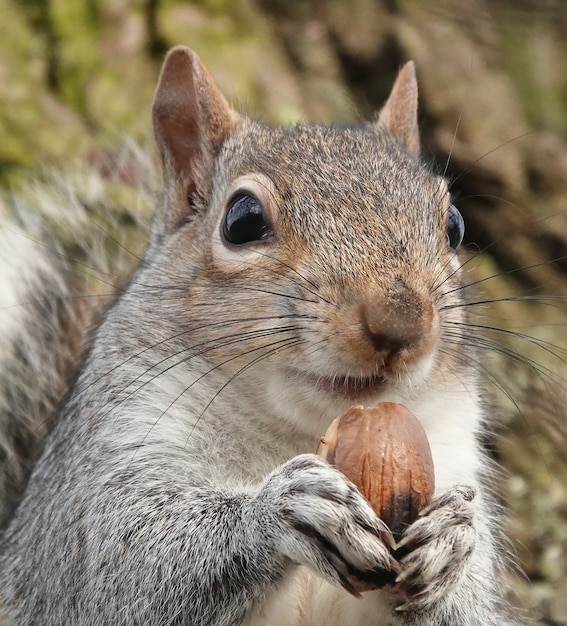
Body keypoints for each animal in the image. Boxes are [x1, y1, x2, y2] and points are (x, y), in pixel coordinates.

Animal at [0, 45, 516, 624]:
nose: (401, 321)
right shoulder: (105, 468)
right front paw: (279, 512)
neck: (297, 433)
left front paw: (453, 540)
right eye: (241, 221)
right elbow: (128, 570)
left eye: (454, 225)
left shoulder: (452, 446)